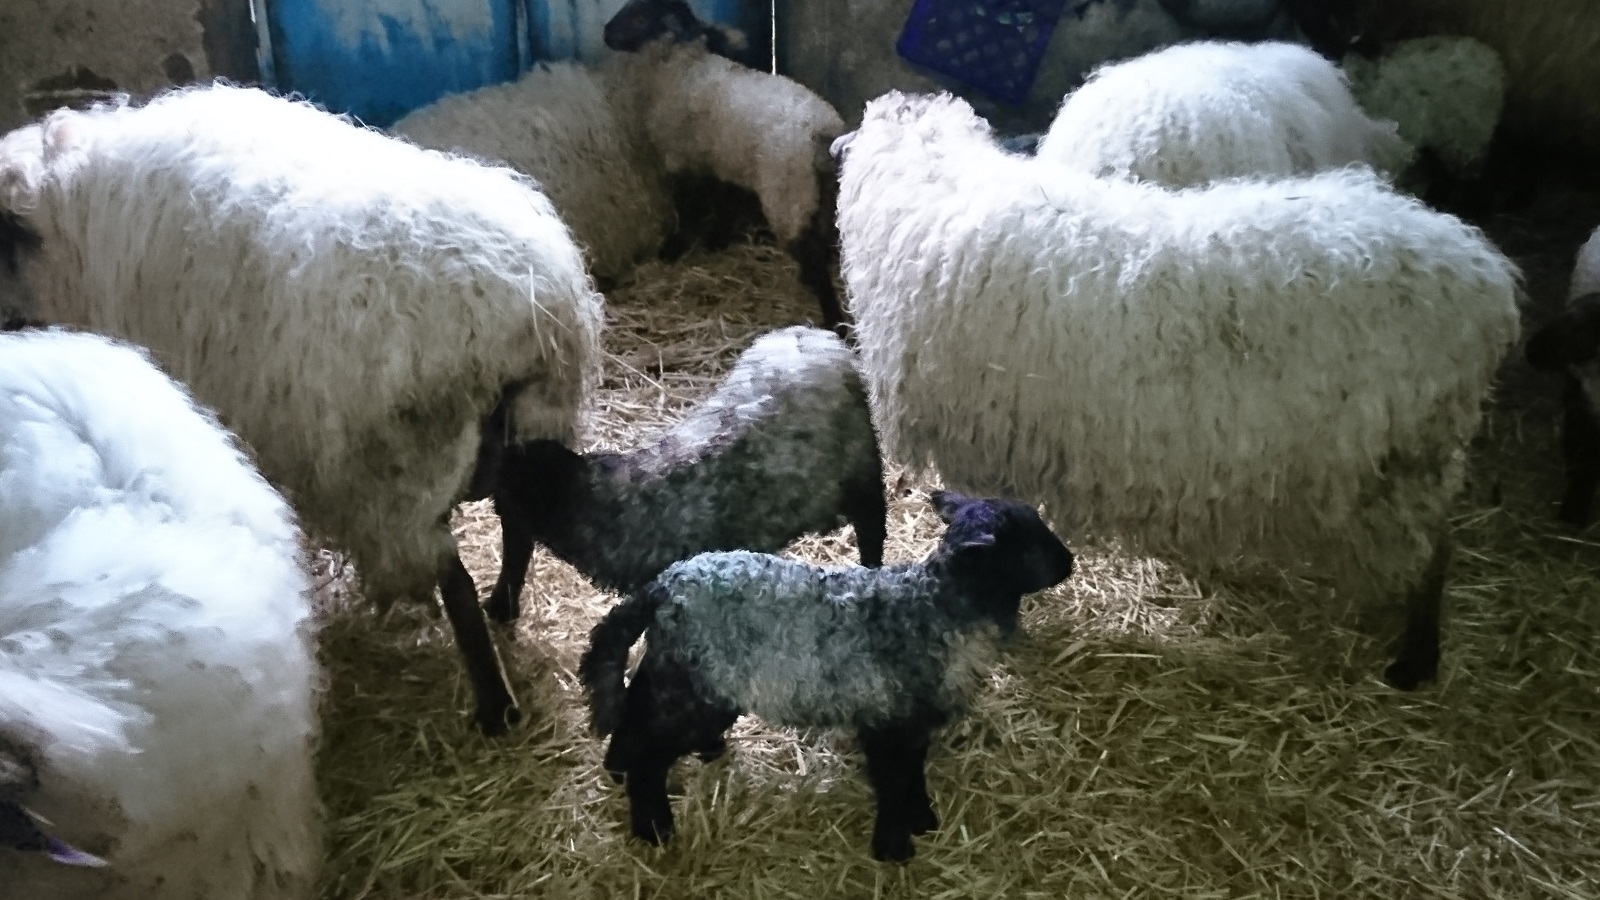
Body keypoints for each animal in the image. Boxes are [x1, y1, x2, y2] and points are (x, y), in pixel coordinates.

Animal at [0, 83, 605, 735]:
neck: (66, 217)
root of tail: (516, 310)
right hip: (535, 426)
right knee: (517, 524)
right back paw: (505, 607)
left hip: (399, 483)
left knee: (456, 584)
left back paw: (494, 705)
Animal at [579, 490, 1075, 862]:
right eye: (1029, 545)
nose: (1069, 562)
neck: (938, 608)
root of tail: (664, 586)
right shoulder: (885, 722)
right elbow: (892, 784)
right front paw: (893, 848)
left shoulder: (913, 727)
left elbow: (914, 775)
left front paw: (923, 820)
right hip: (691, 689)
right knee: (648, 757)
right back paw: (653, 827)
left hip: (679, 677)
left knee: (633, 719)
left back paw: (630, 768)